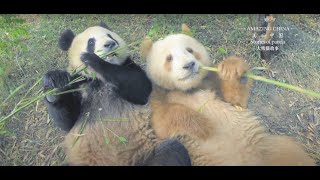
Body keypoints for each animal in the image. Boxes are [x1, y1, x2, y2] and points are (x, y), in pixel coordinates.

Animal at [43, 22, 192, 166]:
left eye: (110, 36)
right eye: (91, 42)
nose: (110, 44)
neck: (100, 81)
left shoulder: (128, 66)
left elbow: (139, 87)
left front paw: (93, 60)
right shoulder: (81, 83)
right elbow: (67, 121)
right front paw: (54, 83)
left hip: (147, 154)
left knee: (171, 151)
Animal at [141, 24, 316, 166]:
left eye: (190, 50)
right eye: (169, 58)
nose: (189, 65)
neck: (190, 88)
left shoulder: (211, 84)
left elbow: (236, 100)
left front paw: (231, 69)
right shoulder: (159, 96)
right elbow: (162, 121)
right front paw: (203, 125)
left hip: (271, 149)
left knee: (292, 152)